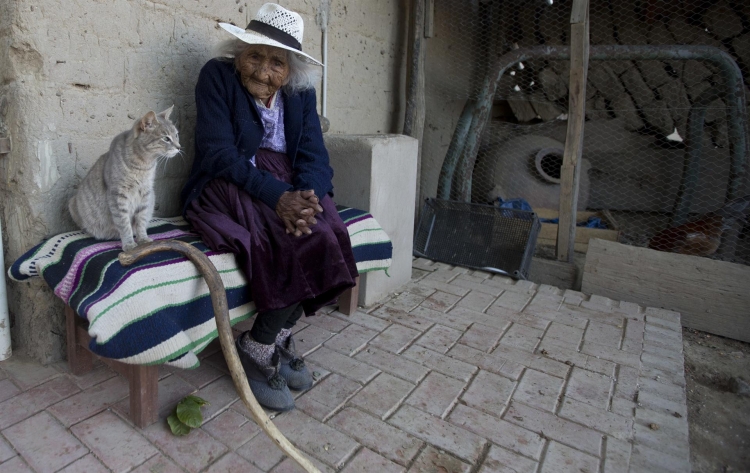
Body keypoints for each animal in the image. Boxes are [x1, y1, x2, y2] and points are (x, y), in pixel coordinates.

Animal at [70, 104, 182, 249]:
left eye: (176, 135)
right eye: (166, 138)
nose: (179, 147)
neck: (144, 165)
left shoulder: (146, 193)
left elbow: (141, 220)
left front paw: (143, 239)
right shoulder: (118, 195)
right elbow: (124, 223)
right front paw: (129, 244)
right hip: (72, 204)